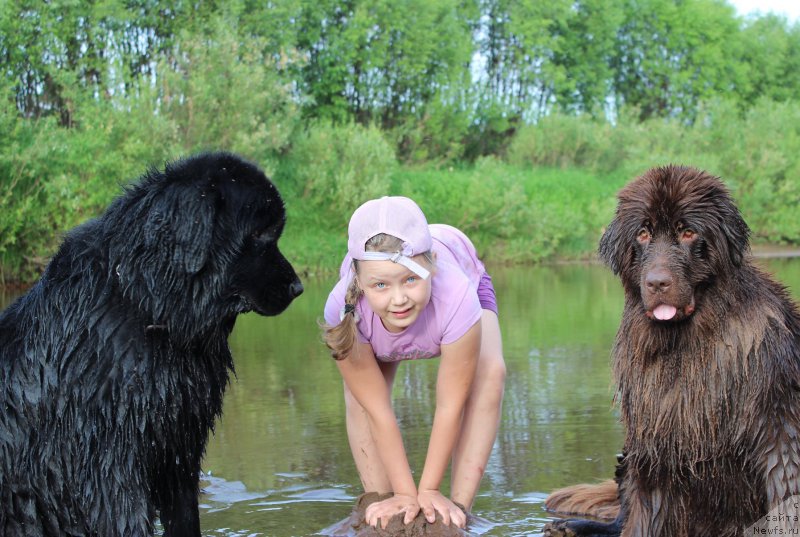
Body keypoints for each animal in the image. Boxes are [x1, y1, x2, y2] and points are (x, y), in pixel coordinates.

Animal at [544, 165, 800, 532]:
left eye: (689, 232)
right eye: (643, 234)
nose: (657, 282)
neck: (685, 346)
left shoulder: (778, 425)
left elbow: (785, 492)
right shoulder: (655, 440)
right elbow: (644, 517)